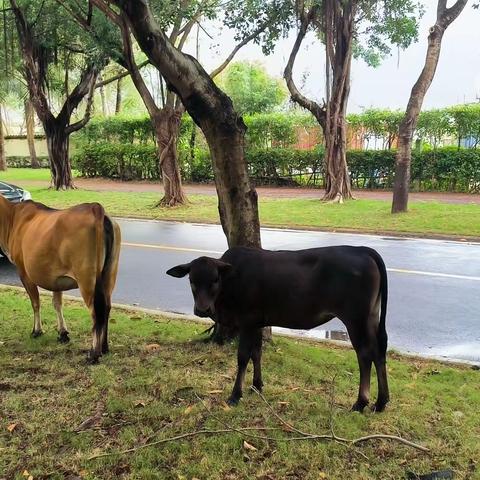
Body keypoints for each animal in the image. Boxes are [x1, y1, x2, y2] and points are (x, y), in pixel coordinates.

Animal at [0, 197, 120, 362]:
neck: (11, 217)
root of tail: (94, 208)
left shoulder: (23, 272)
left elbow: (35, 303)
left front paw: (37, 331)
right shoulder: (56, 278)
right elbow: (57, 303)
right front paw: (63, 333)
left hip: (86, 279)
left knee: (96, 311)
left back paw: (93, 354)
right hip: (109, 275)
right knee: (107, 307)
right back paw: (104, 348)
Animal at [169, 248, 390, 412]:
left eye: (215, 279)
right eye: (192, 280)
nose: (202, 309)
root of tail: (362, 250)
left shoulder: (247, 321)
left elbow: (243, 357)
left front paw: (235, 395)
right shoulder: (257, 323)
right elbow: (257, 353)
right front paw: (257, 385)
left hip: (356, 319)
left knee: (365, 355)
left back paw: (361, 402)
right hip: (371, 316)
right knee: (378, 352)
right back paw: (381, 402)